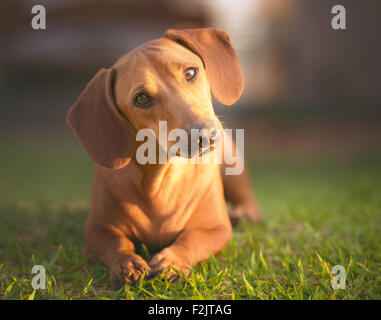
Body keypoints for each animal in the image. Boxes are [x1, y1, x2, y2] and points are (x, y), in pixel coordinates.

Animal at [66, 28, 262, 288]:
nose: (204, 135)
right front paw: (125, 262)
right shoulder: (97, 230)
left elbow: (192, 239)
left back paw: (245, 214)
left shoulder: (215, 229)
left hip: (233, 165)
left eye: (190, 73)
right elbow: (116, 244)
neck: (161, 180)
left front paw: (173, 261)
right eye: (141, 98)